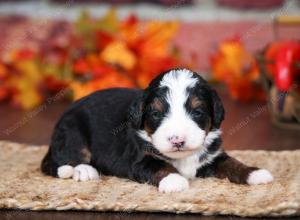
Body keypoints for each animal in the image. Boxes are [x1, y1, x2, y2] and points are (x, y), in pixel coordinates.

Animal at [41, 68, 274, 192]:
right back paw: (85, 170)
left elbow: (232, 163)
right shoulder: (139, 159)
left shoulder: (213, 156)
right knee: (68, 157)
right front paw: (174, 181)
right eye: (156, 114)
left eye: (197, 111)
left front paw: (255, 173)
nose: (177, 140)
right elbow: (159, 166)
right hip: (73, 131)